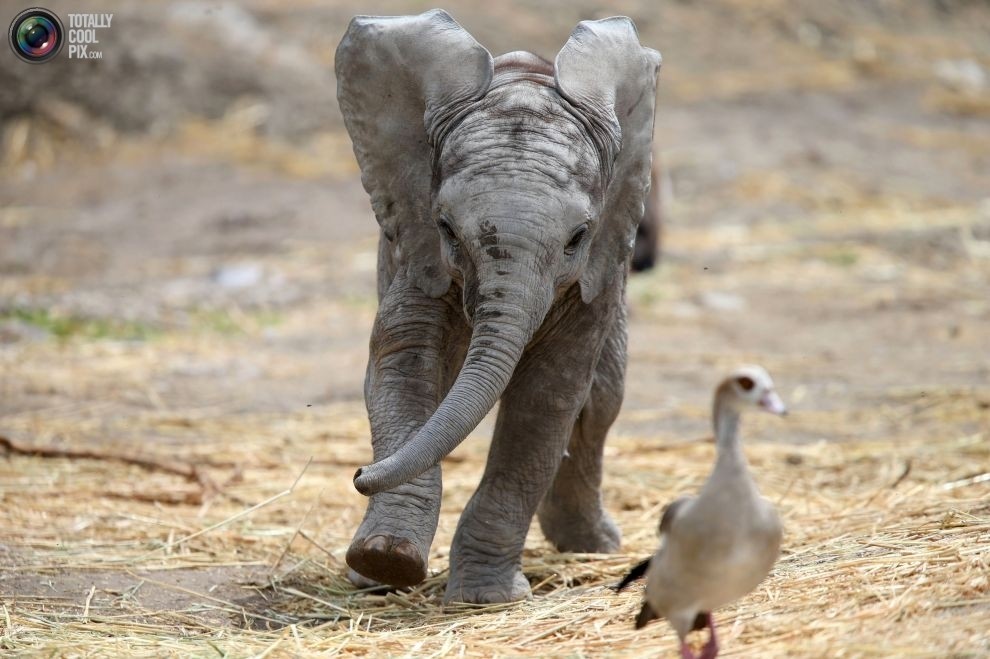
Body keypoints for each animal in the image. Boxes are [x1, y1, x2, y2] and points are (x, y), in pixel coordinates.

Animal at [338, 10, 664, 604]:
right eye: (447, 228)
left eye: (577, 238)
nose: (358, 474)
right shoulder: (416, 247)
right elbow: (404, 367)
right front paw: (384, 562)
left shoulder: (599, 274)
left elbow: (547, 396)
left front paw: (485, 599)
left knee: (602, 399)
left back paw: (592, 546)